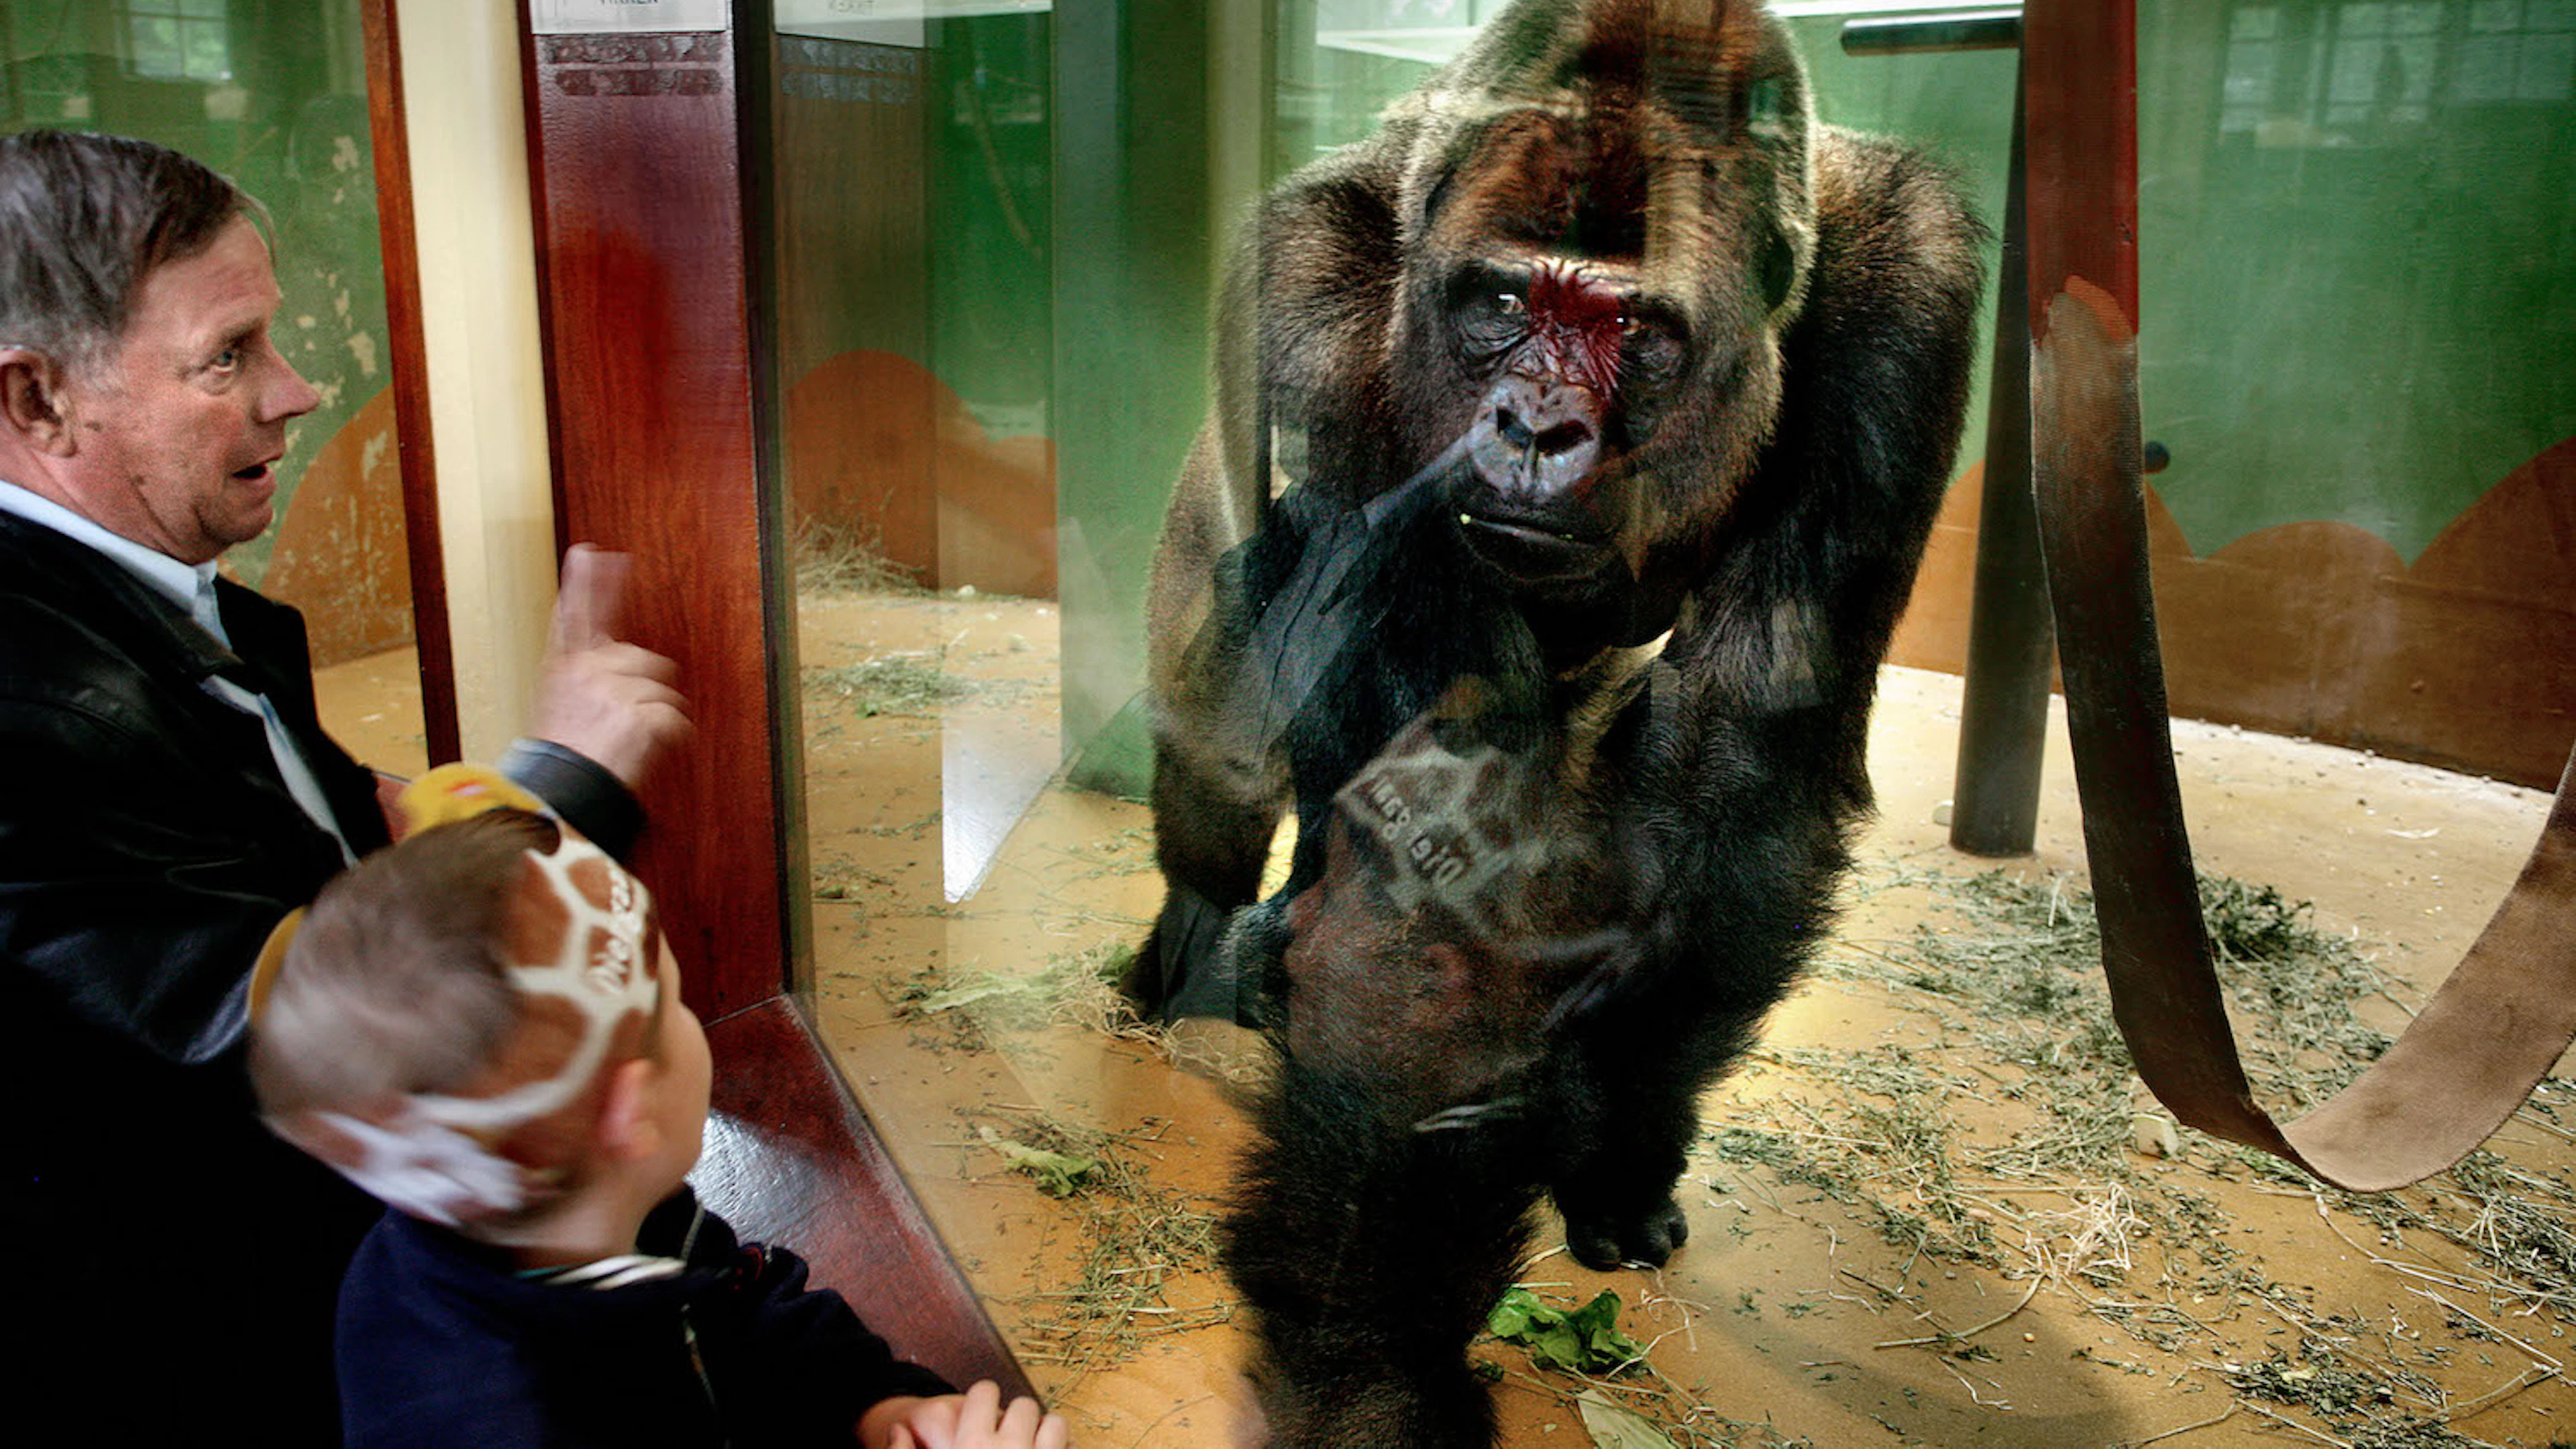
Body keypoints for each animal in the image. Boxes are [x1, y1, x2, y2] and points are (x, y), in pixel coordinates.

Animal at [1127, 2, 1986, 1441]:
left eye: (1631, 326)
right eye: (1503, 303)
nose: (1534, 426)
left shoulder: (1910, 300)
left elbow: (1740, 773)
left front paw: (1620, 1151)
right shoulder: (1313, 301)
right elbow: (1434, 881)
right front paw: (1377, 1378)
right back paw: (1208, 936)